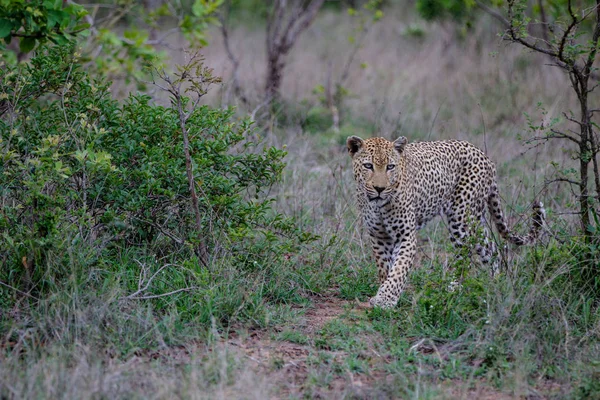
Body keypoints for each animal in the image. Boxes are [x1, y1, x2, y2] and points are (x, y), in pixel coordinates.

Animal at [344, 136, 548, 308]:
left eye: (390, 167)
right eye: (368, 166)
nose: (379, 188)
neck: (378, 206)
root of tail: (484, 156)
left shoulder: (406, 236)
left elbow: (399, 269)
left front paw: (386, 299)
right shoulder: (379, 237)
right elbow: (385, 268)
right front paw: (384, 292)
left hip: (461, 219)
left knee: (464, 256)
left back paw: (454, 289)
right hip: (476, 220)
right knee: (491, 249)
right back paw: (494, 285)